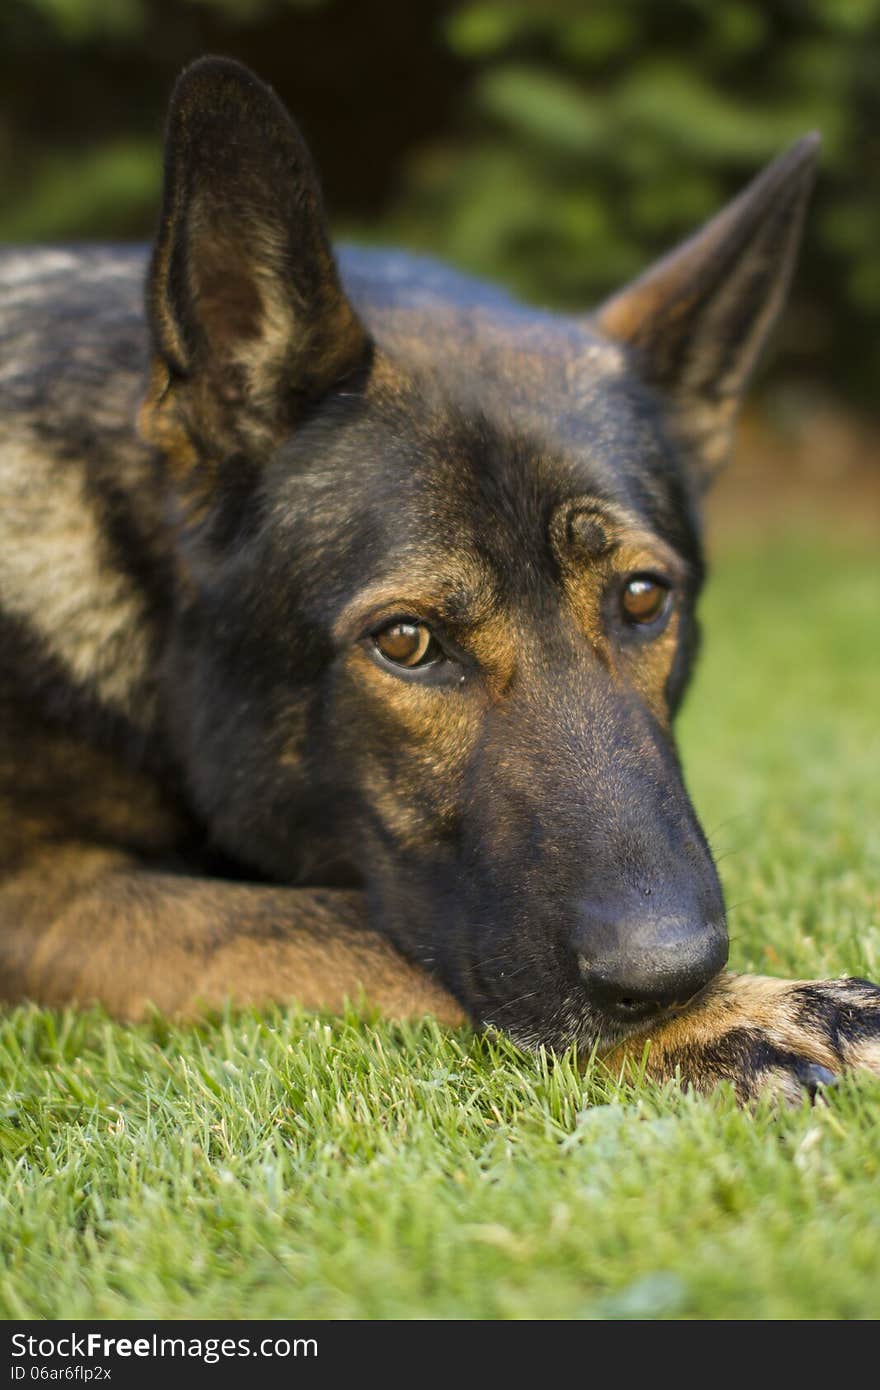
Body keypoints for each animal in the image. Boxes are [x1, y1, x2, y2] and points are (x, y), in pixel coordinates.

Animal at [1, 54, 878, 1100]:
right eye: (408, 643)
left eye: (641, 598)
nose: (673, 979)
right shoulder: (32, 894)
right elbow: (335, 924)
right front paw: (738, 1014)